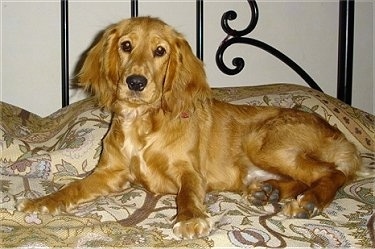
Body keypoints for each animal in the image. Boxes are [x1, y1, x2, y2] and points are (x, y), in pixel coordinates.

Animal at [16, 17, 362, 239]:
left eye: (160, 51)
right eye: (126, 45)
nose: (136, 82)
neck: (142, 123)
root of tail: (338, 135)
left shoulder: (190, 172)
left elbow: (186, 195)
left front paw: (190, 218)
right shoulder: (109, 174)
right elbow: (73, 188)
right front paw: (43, 201)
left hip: (264, 142)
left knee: (333, 173)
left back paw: (310, 201)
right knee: (304, 176)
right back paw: (268, 191)